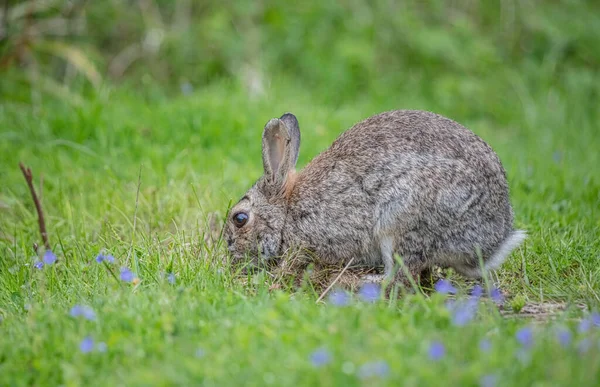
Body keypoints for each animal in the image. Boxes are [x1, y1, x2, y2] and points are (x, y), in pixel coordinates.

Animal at [224, 110, 524, 284]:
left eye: (240, 218)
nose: (229, 253)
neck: (286, 211)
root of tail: (491, 243)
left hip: (402, 218)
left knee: (400, 274)